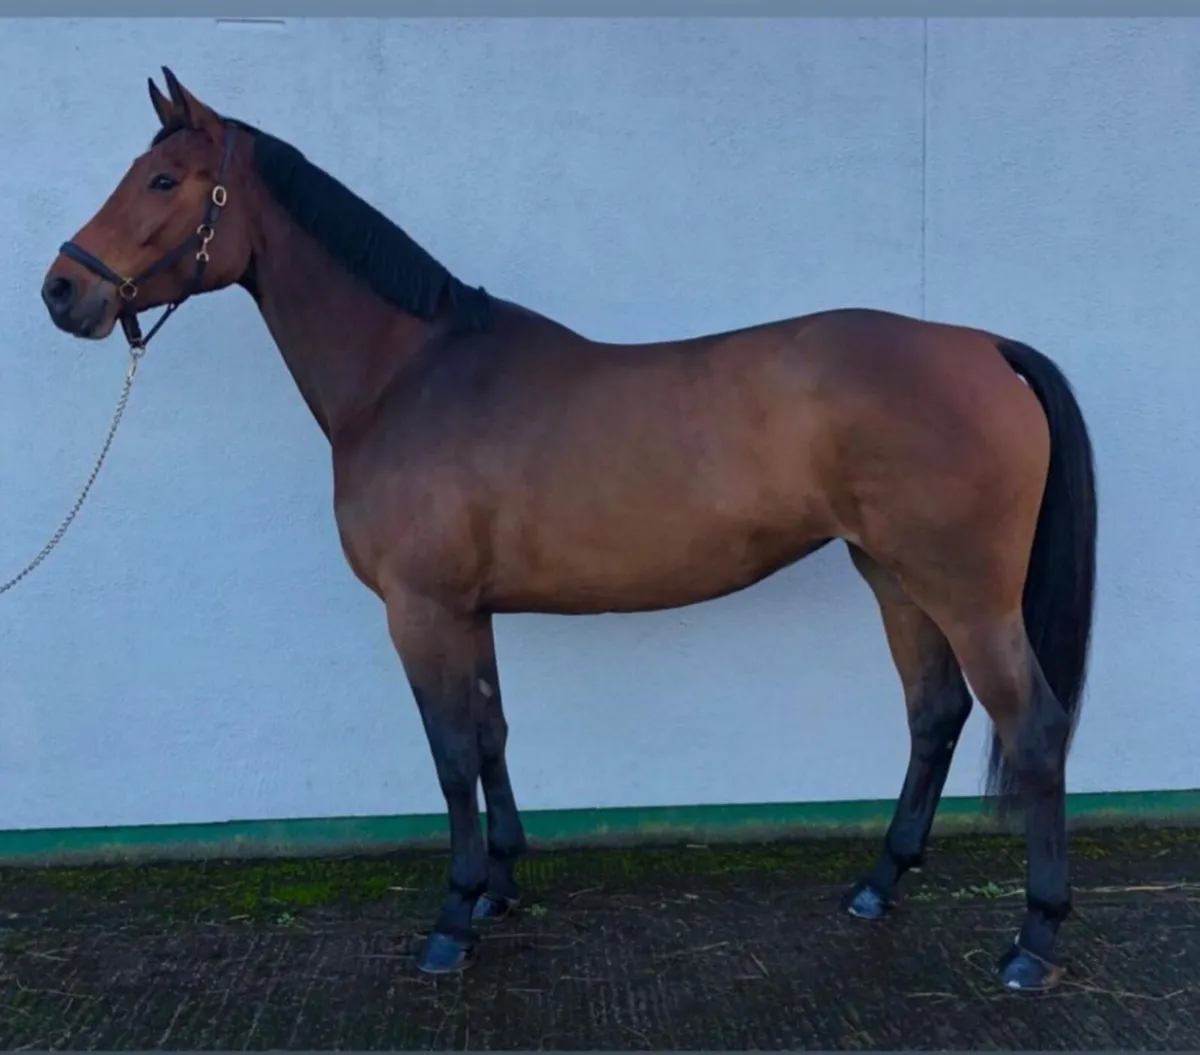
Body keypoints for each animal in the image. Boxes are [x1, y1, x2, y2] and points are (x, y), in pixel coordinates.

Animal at [40, 68, 1097, 993]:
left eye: (164, 180)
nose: (61, 291)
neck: (410, 375)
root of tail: (984, 347)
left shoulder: (419, 611)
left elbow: (450, 752)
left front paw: (452, 918)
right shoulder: (466, 610)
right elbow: (491, 734)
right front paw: (500, 887)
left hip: (966, 590)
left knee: (1033, 727)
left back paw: (1033, 941)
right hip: (892, 574)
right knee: (935, 712)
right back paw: (879, 884)